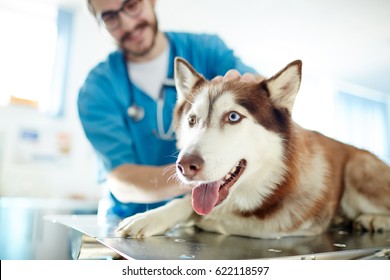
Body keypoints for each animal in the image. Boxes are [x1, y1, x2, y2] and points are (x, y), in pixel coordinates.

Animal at [116, 57, 390, 238]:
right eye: (192, 120)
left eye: (233, 117)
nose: (184, 166)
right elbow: (187, 204)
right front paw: (151, 216)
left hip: (358, 168)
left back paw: (372, 219)